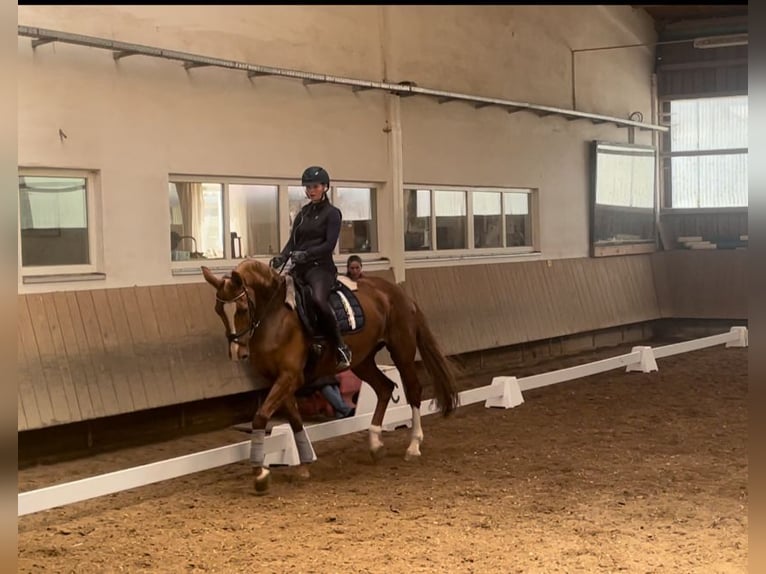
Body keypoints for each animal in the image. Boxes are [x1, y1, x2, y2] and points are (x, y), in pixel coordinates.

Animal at [201, 260, 460, 496]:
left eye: (242, 308)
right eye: (218, 311)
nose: (237, 353)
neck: (275, 315)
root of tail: (397, 292)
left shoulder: (289, 377)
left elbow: (260, 417)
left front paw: (260, 474)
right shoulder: (279, 379)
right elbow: (294, 419)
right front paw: (304, 464)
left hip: (402, 350)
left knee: (413, 390)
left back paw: (413, 446)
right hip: (363, 361)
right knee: (385, 388)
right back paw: (375, 445)